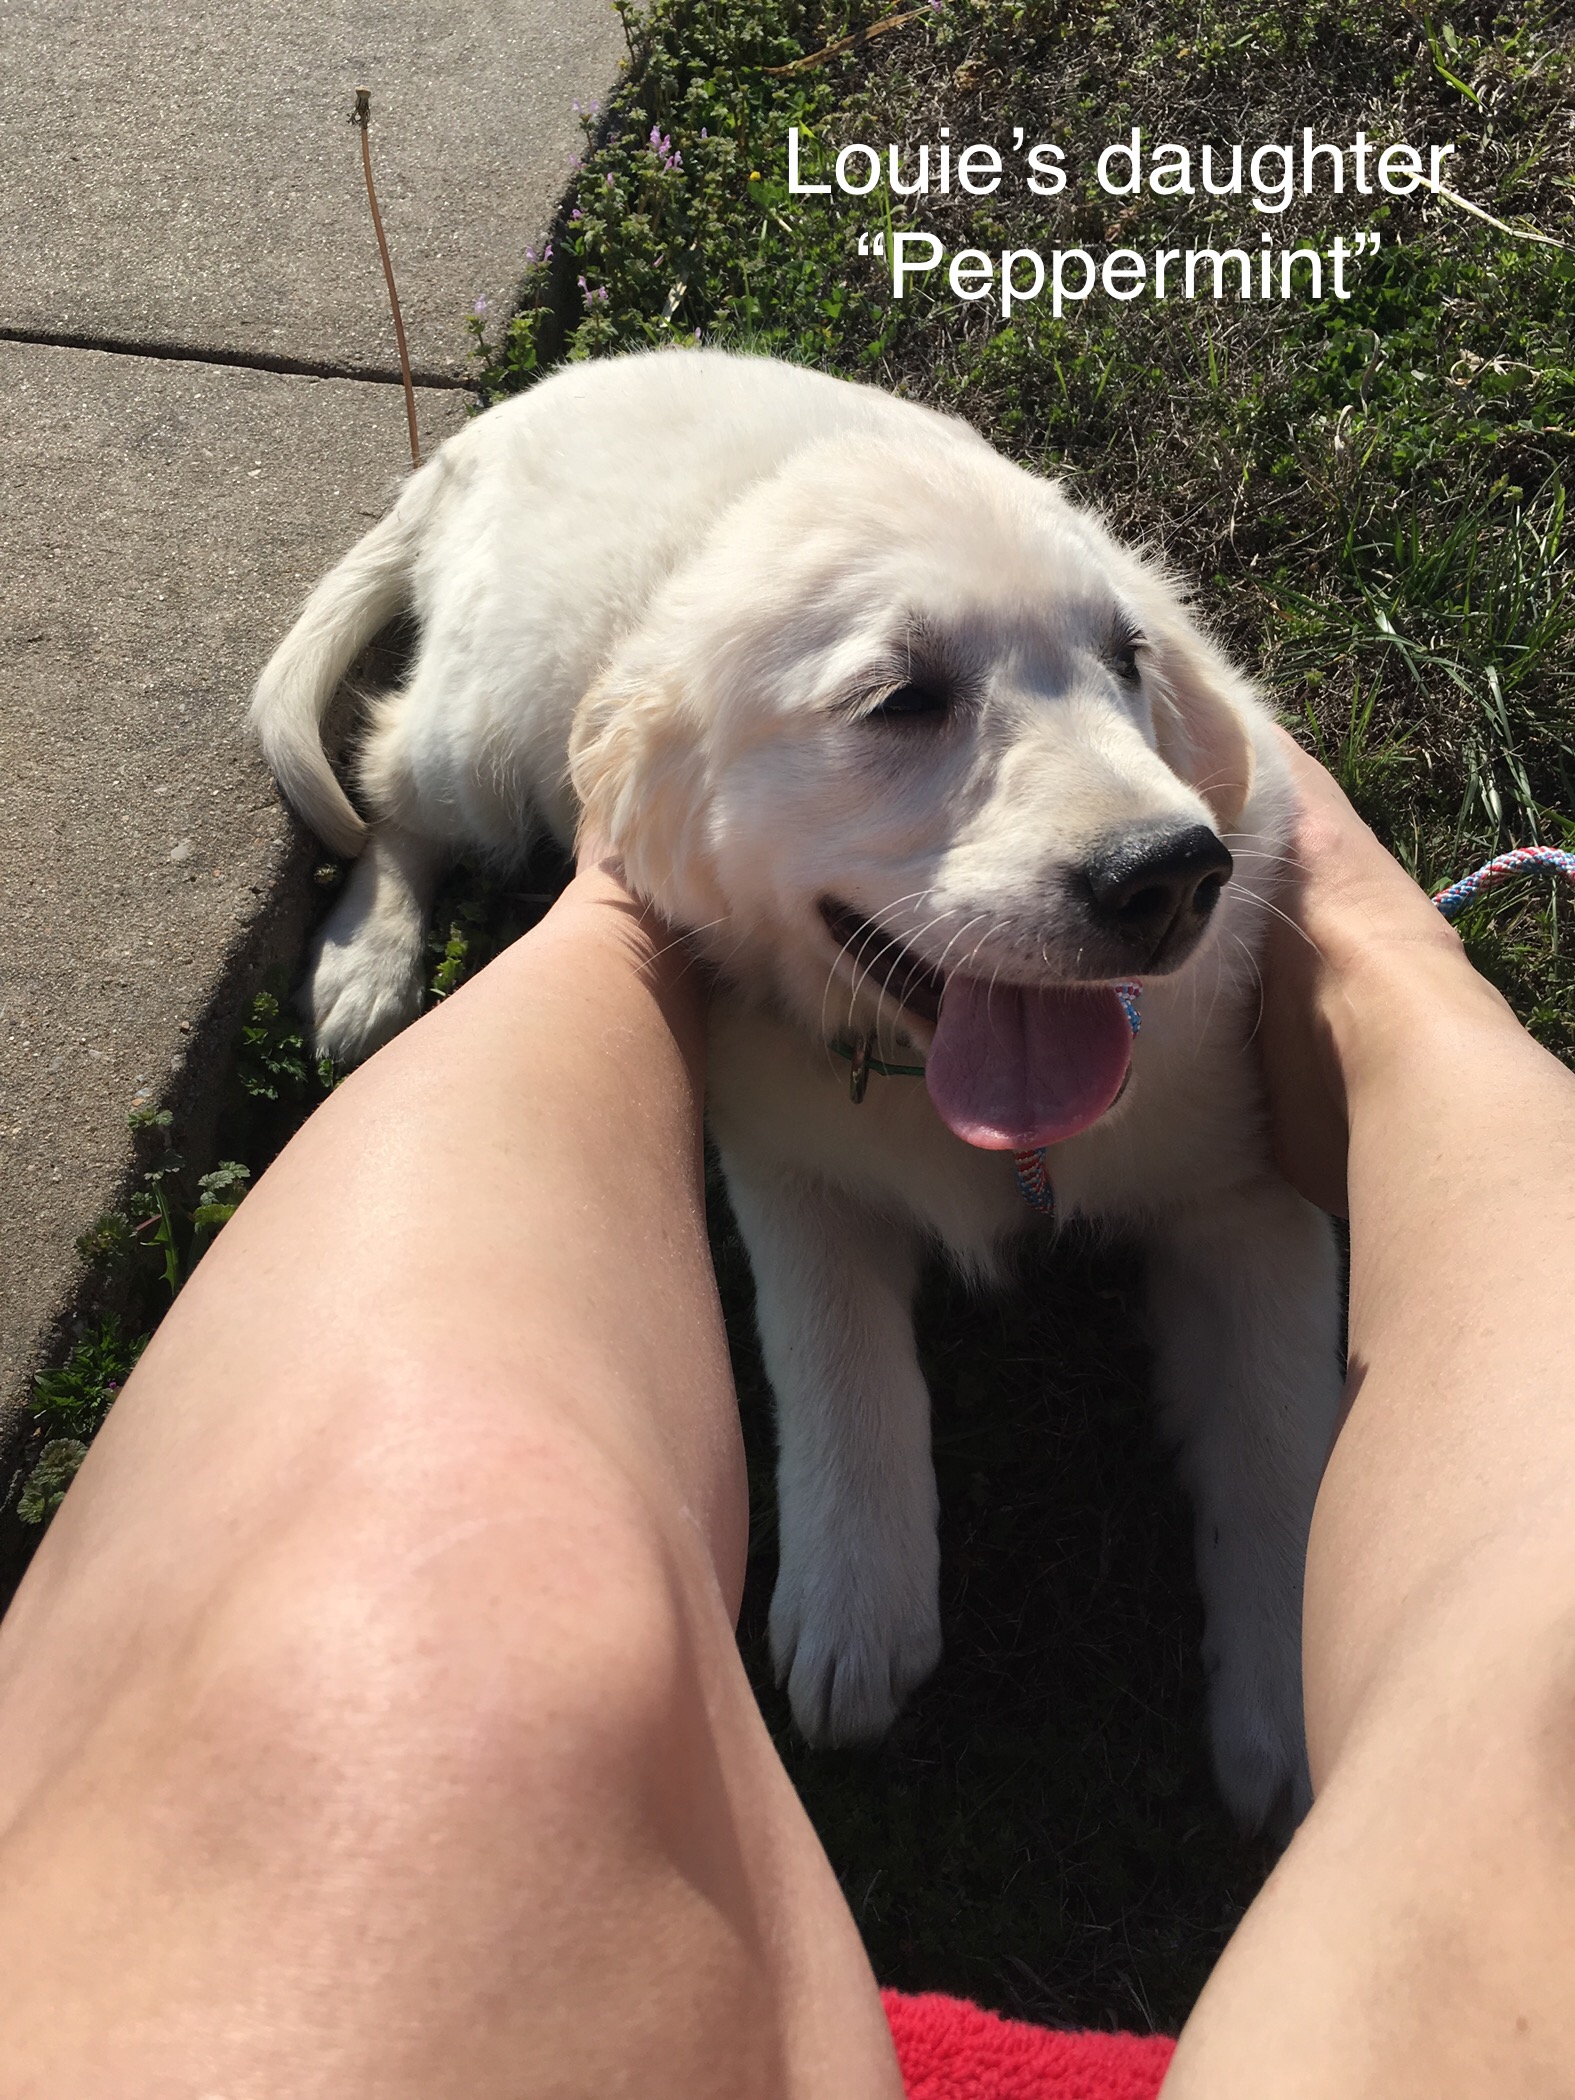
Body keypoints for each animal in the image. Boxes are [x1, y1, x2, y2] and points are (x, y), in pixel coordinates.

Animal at [251, 347, 1341, 1832]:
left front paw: (1287, 1709)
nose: (1173, 874)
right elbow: (834, 1357)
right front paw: (852, 1605)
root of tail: (491, 428)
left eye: (1129, 663)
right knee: (384, 783)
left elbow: (1281, 1444)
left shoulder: (1248, 1190)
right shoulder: (785, 1160)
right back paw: (367, 956)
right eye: (900, 697)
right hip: (482, 725)